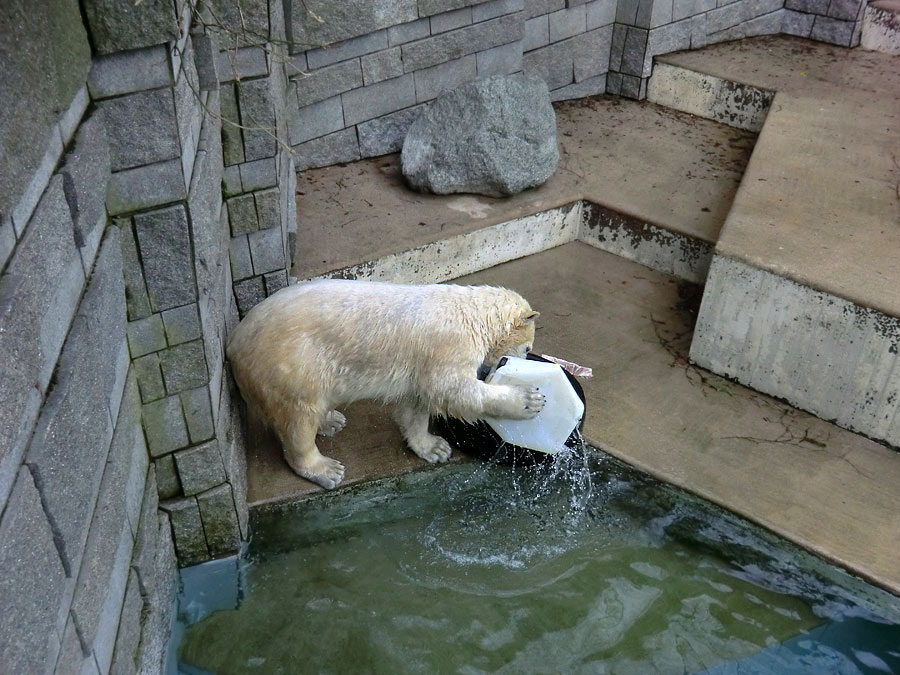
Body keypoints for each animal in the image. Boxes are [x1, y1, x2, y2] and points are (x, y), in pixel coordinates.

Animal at [229, 280, 544, 492]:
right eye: (528, 348)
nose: (528, 354)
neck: (472, 315)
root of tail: (234, 344)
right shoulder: (448, 346)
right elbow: (453, 390)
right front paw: (529, 400)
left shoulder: (421, 364)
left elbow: (419, 402)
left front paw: (434, 448)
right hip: (292, 365)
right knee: (298, 417)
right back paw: (325, 468)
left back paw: (331, 420)